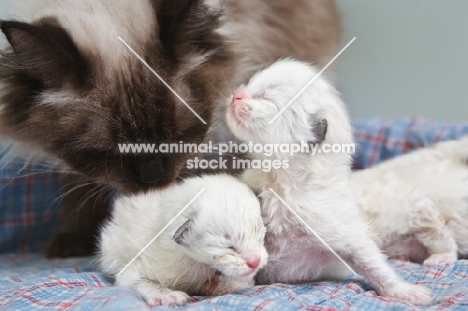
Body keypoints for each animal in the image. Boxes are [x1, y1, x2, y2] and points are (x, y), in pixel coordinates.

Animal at [98, 174, 266, 308]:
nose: (255, 261)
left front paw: (228, 284)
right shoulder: (137, 268)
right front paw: (166, 296)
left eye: (259, 236)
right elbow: (138, 281)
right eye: (229, 247)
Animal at [225, 59, 434, 308]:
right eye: (250, 85)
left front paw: (405, 291)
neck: (284, 181)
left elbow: (371, 262)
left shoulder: (342, 230)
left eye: (266, 97)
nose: (236, 95)